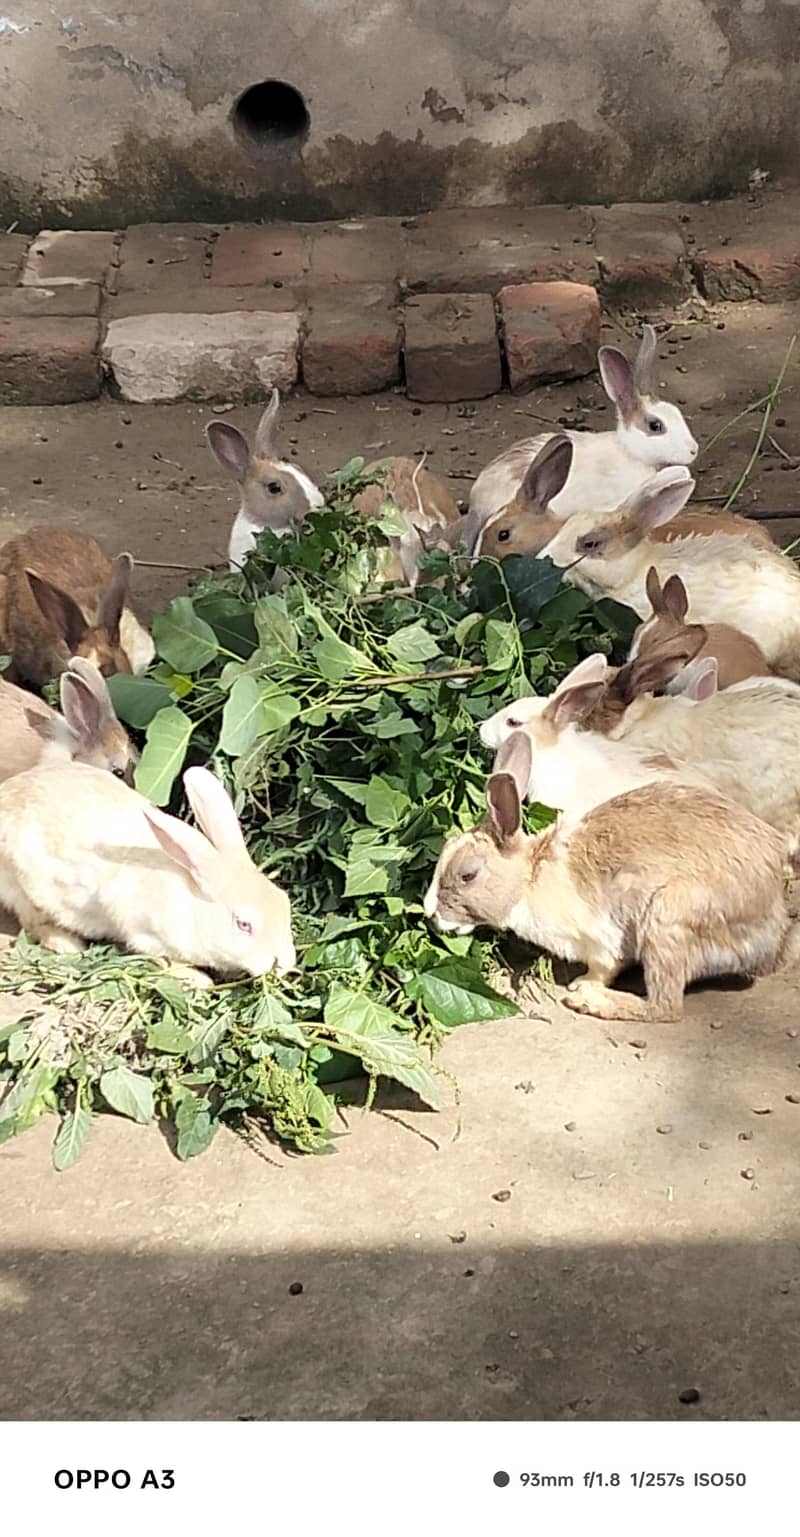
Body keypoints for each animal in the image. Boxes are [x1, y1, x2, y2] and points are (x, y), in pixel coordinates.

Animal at [0, 762, 296, 977]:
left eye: (284, 901)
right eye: (244, 924)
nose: (285, 962)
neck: (192, 905)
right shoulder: (146, 934)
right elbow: (168, 961)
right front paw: (201, 981)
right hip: (24, 890)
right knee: (34, 923)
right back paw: (69, 945)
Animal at [423, 729, 796, 1023]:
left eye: (468, 875)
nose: (430, 913)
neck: (531, 878)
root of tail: (775, 938)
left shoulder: (603, 938)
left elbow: (604, 966)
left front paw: (583, 986)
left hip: (668, 918)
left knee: (665, 1007)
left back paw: (591, 1002)